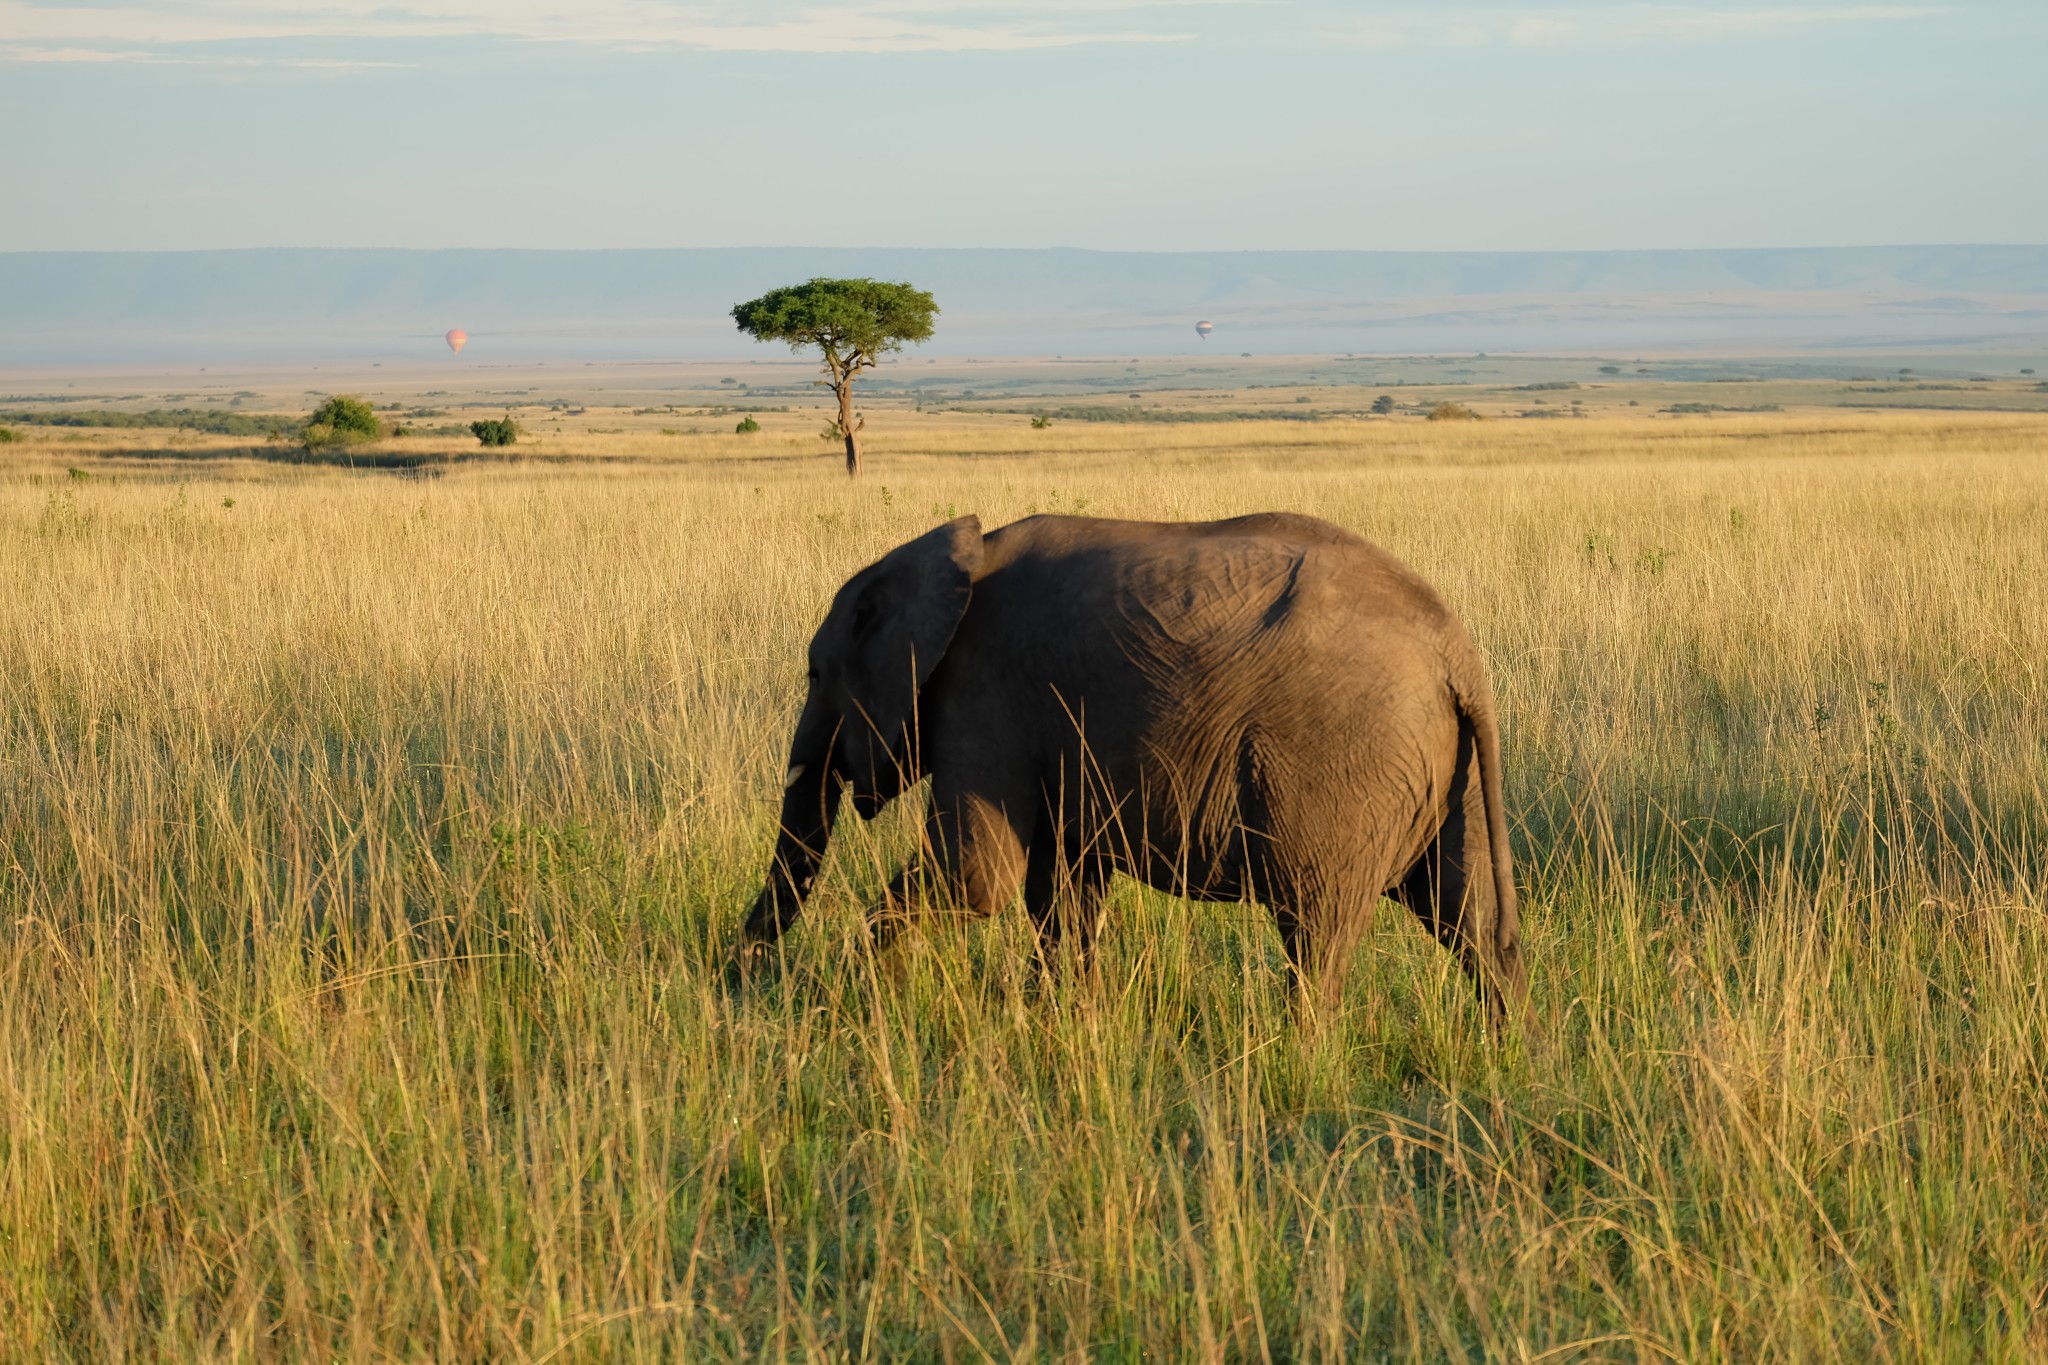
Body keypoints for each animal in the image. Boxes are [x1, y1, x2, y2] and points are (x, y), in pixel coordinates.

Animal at [737, 515, 1523, 1023]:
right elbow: (1061, 890)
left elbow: (976, 876)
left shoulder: (983, 693)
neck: (954, 550)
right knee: (1470, 918)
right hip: (1439, 769)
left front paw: (852, 997)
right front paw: (1059, 1023)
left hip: (1345, 763)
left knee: (1315, 925)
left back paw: (1299, 1052)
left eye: (814, 674)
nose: (736, 970)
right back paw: (1508, 1048)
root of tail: (1457, 651)